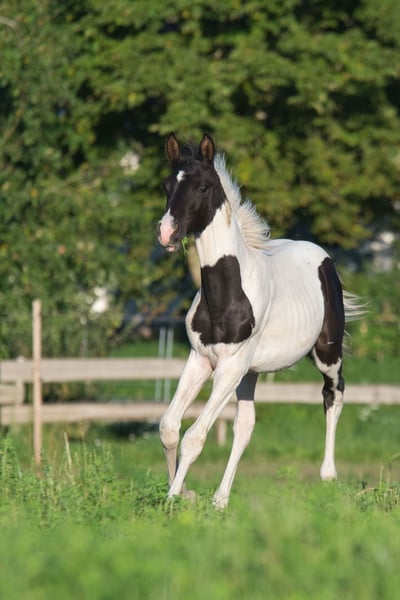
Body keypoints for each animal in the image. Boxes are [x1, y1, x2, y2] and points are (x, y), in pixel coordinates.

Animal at [157, 132, 361, 508]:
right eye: (167, 185)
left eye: (204, 186)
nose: (166, 234)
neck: (227, 292)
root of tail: (322, 257)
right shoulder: (202, 360)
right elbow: (169, 427)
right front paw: (183, 493)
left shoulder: (229, 367)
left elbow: (195, 436)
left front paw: (173, 499)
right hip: (250, 372)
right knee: (245, 426)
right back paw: (221, 499)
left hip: (326, 353)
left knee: (334, 394)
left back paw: (328, 476)